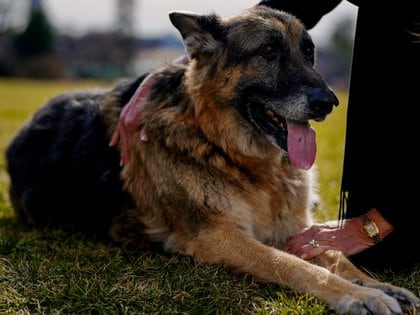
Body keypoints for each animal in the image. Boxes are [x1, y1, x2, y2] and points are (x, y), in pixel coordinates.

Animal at [4, 5, 418, 315]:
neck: (225, 148)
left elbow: (337, 256)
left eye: (309, 53)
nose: (328, 103)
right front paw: (360, 295)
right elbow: (294, 265)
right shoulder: (219, 237)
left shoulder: (296, 229)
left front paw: (379, 285)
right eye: (268, 52)